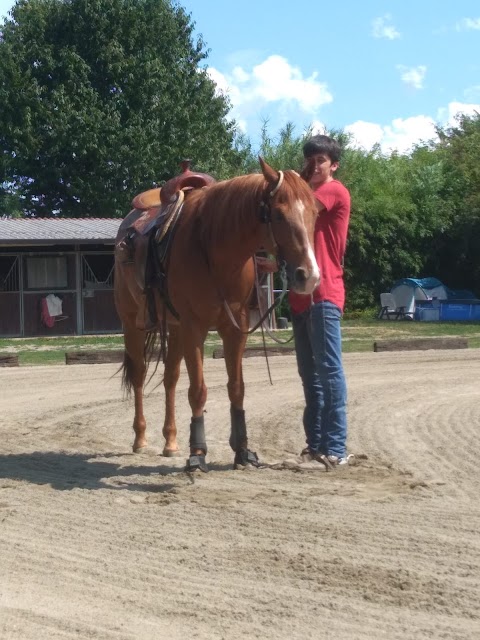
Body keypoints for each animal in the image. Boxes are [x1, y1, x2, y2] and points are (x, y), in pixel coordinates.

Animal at [114, 158, 320, 472]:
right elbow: (198, 390)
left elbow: (237, 388)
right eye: (278, 214)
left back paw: (170, 441)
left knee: (170, 379)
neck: (214, 248)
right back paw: (140, 438)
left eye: (315, 212)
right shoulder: (194, 328)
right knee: (138, 375)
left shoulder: (234, 328)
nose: (308, 276)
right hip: (132, 323)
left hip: (174, 328)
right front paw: (198, 453)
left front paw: (242, 451)